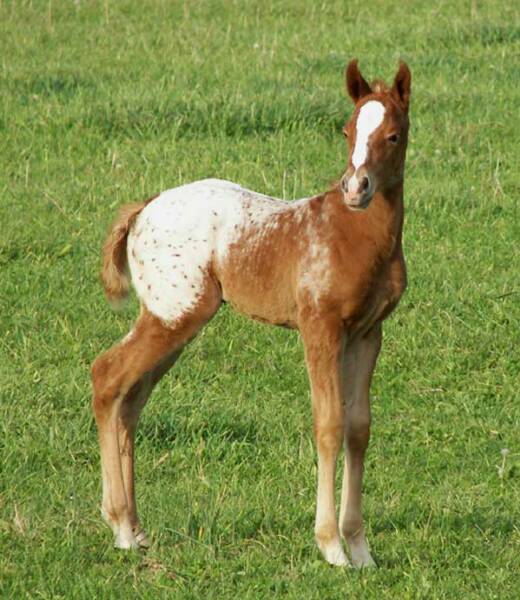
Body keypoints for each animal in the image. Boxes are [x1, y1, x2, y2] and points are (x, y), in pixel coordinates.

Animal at [91, 58, 411, 567]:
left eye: (394, 135)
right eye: (346, 131)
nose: (355, 188)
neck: (353, 234)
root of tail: (143, 210)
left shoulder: (368, 333)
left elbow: (359, 428)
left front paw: (361, 549)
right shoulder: (319, 328)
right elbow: (329, 424)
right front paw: (331, 547)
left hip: (170, 319)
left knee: (130, 397)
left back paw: (136, 528)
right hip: (174, 314)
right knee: (107, 376)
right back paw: (121, 526)